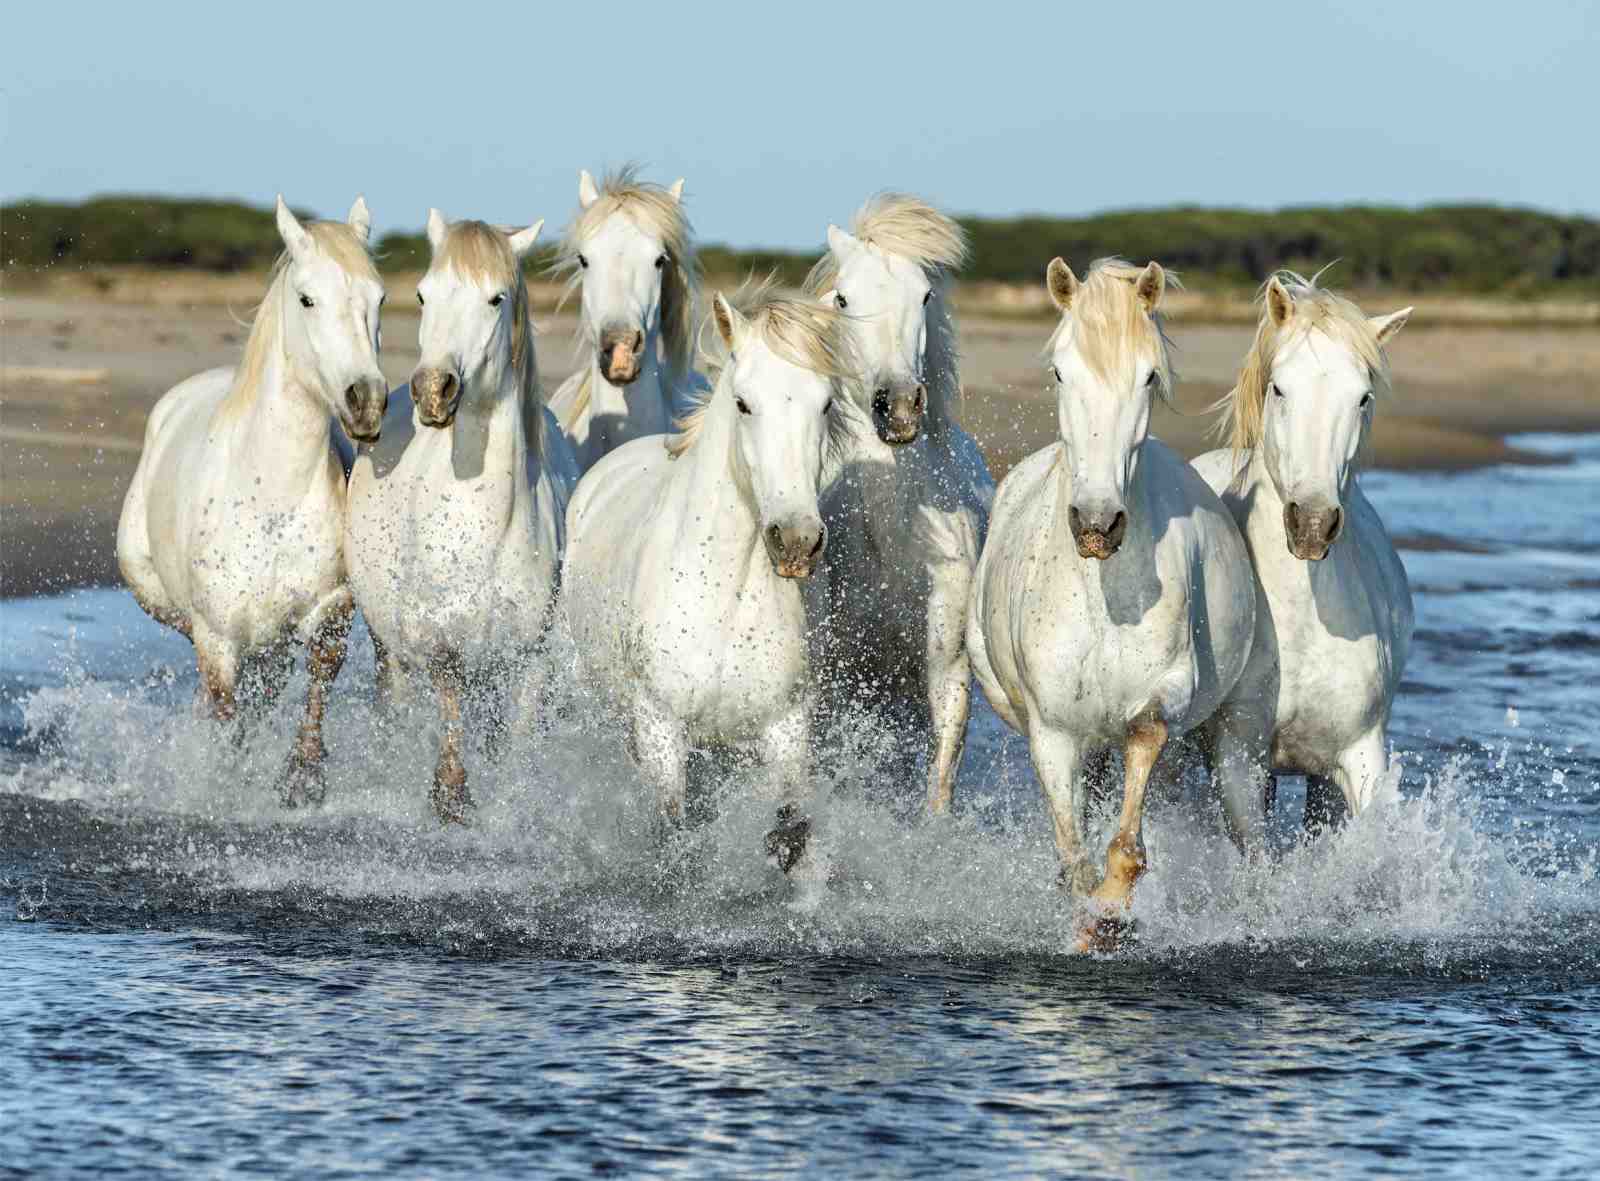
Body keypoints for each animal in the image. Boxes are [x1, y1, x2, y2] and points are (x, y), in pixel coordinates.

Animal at [117, 195, 387, 805]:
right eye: (307, 298)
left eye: (379, 297)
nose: (366, 401)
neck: (271, 501)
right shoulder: (217, 639)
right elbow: (226, 712)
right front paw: (226, 781)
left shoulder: (330, 609)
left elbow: (319, 678)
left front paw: (302, 779)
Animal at [344, 211, 577, 824]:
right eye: (424, 294)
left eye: (496, 299)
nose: (432, 391)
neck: (482, 530)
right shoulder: (440, 641)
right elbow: (450, 714)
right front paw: (449, 797)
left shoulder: (527, 657)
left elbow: (515, 743)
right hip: (389, 646)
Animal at [562, 284, 855, 871]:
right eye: (743, 403)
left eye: (826, 403)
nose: (795, 541)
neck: (726, 591)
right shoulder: (660, 726)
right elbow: (672, 833)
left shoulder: (786, 729)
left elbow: (790, 832)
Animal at [805, 194, 993, 813]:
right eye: (843, 299)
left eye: (926, 295)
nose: (901, 407)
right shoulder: (837, 683)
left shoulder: (946, 673)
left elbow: (938, 786)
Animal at [967, 258, 1256, 950]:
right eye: (1058, 371)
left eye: (1149, 376)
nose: (1097, 524)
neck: (1103, 597)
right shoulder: (1053, 731)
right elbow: (1072, 859)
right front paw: (1087, 922)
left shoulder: (1163, 694)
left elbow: (1131, 809)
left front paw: (1113, 911)